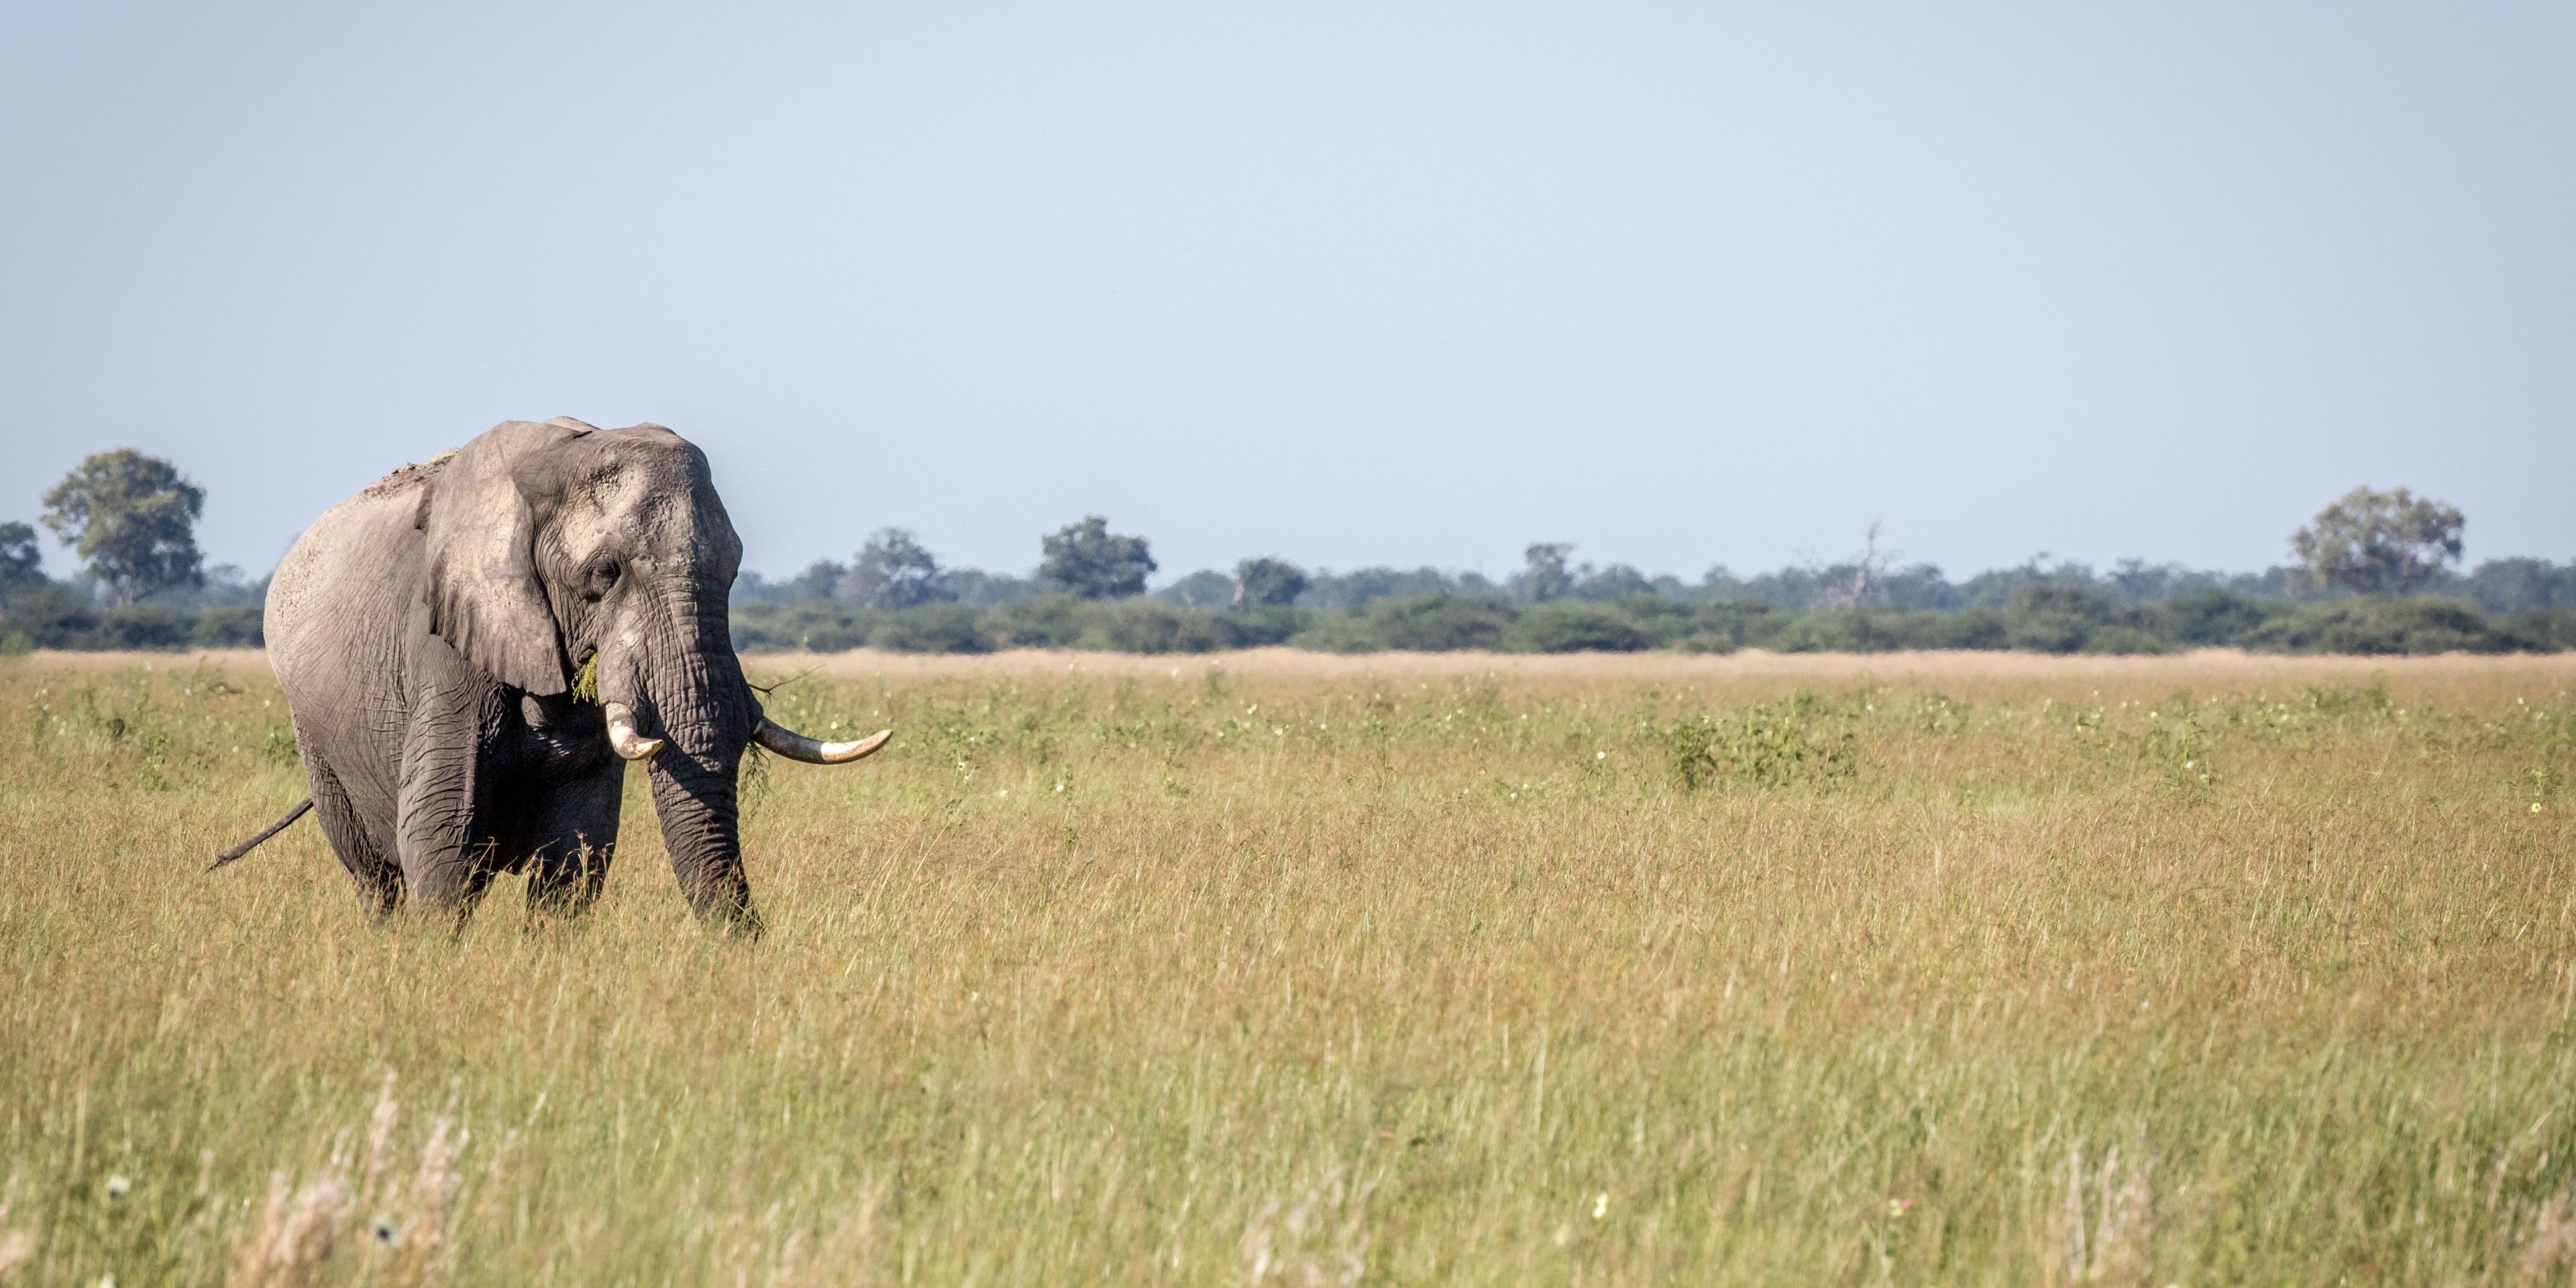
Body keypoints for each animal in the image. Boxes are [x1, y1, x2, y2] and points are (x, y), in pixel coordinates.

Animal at [221, 418, 888, 935]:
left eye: (733, 573)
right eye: (605, 574)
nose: (748, 951)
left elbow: (579, 848)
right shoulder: (446, 651)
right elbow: (441, 832)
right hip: (313, 729)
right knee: (373, 874)